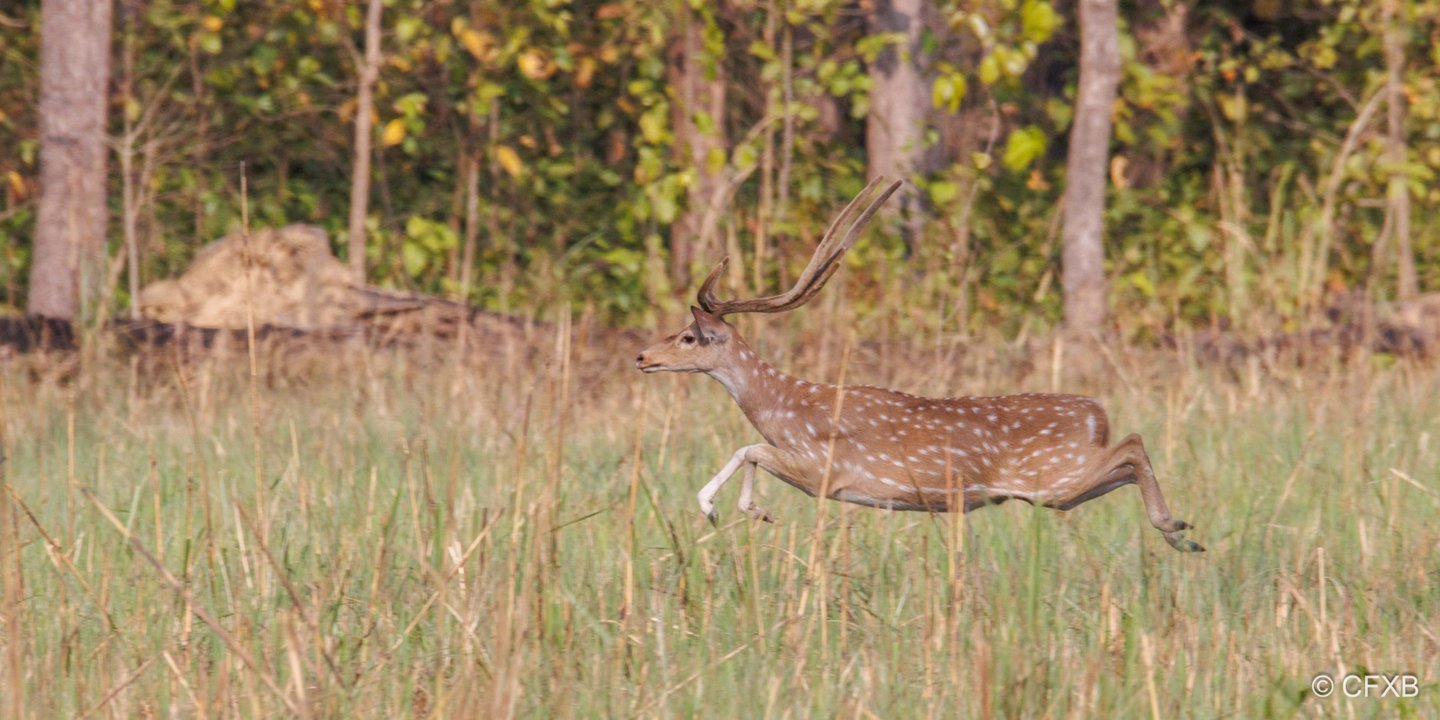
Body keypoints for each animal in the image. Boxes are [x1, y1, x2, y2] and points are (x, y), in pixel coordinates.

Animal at [634, 178, 1204, 552]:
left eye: (688, 336)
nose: (641, 356)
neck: (783, 408)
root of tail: (1094, 413)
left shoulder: (826, 470)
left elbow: (748, 449)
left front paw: (720, 507)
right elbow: (749, 450)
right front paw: (750, 509)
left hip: (1053, 475)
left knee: (1132, 444)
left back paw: (1176, 528)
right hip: (1058, 490)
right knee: (1123, 463)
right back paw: (1180, 534)